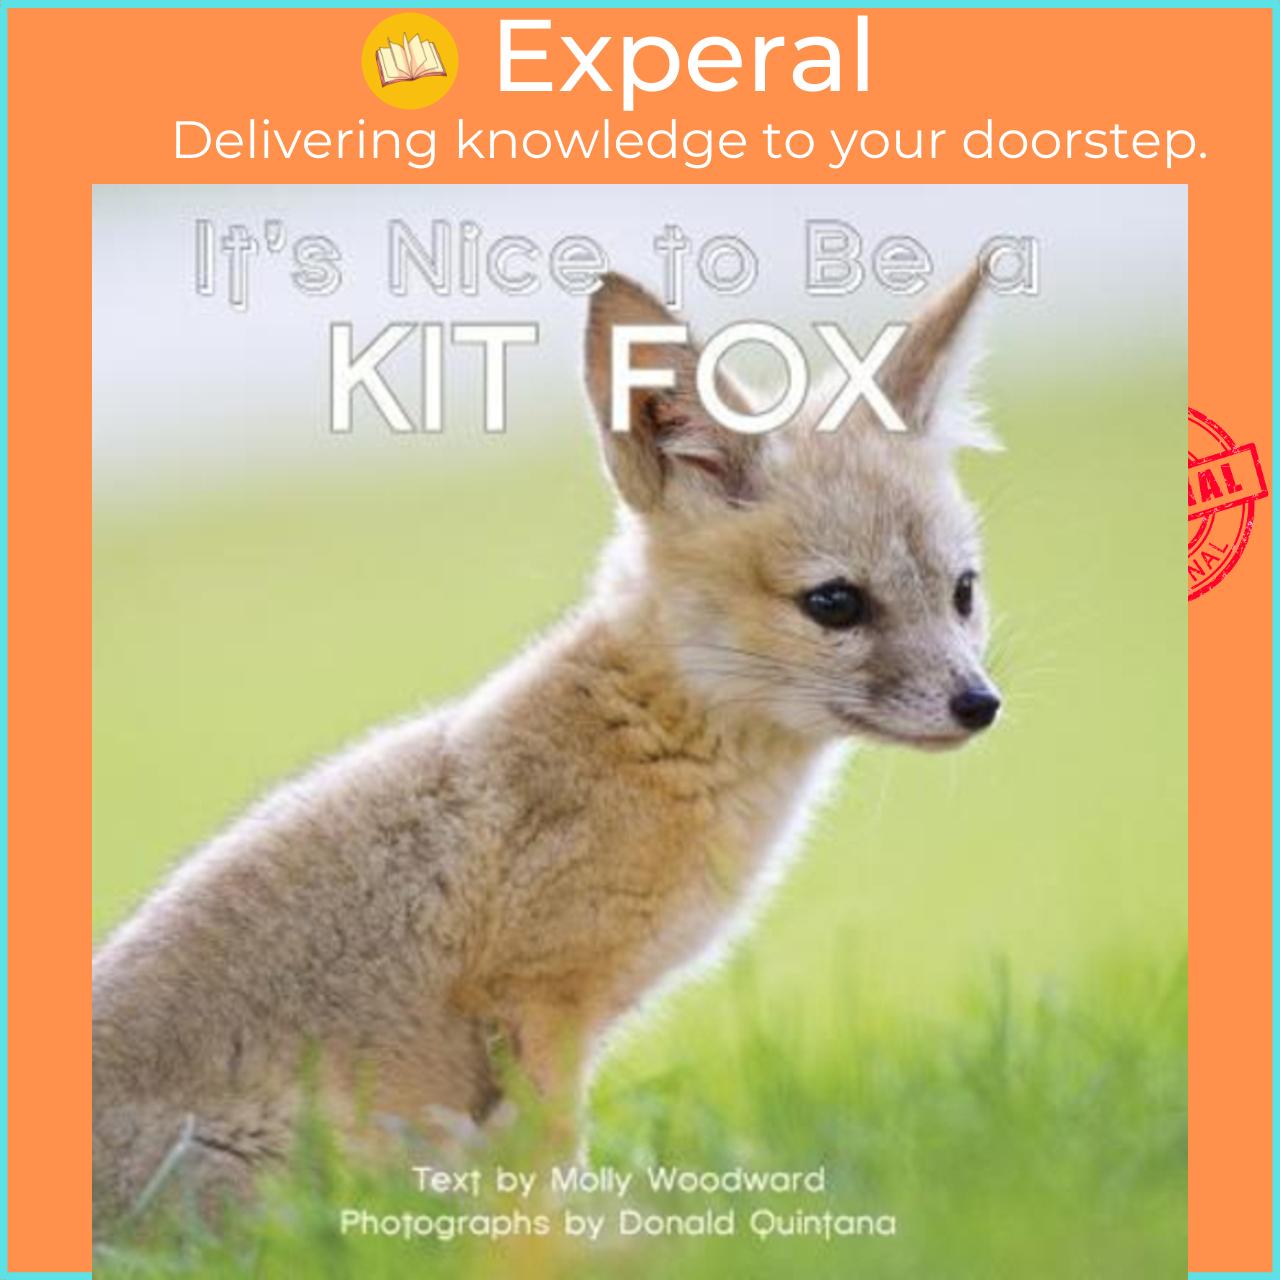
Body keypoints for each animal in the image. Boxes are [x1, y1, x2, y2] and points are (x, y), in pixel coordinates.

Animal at [92, 261, 1001, 1231]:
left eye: (962, 592)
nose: (979, 704)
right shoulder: (542, 999)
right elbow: (551, 1164)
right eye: (834, 603)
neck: (649, 739)